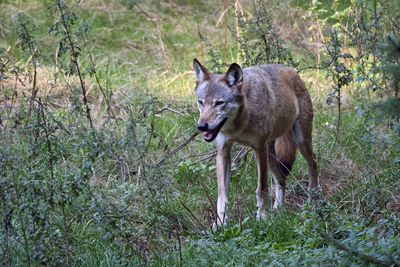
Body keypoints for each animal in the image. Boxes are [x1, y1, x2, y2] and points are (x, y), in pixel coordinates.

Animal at [194, 59, 318, 226]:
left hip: (300, 141)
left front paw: (261, 218)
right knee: (281, 179)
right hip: (270, 155)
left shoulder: (258, 149)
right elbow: (222, 195)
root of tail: (291, 70)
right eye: (201, 102)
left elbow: (262, 189)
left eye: (219, 103)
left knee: (313, 163)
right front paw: (220, 223)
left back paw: (314, 200)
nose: (201, 126)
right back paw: (278, 210)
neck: (239, 126)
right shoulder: (223, 153)